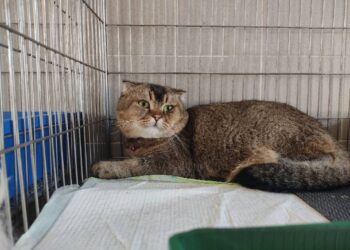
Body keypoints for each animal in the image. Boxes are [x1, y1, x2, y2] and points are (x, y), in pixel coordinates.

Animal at [91, 80, 350, 191]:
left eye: (168, 107)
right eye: (144, 103)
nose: (157, 116)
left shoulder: (176, 163)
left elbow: (136, 165)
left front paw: (105, 167)